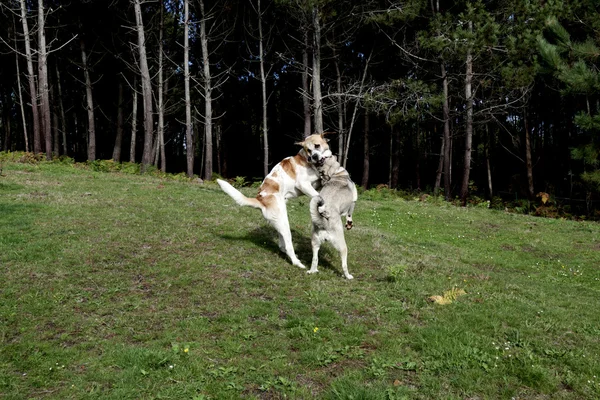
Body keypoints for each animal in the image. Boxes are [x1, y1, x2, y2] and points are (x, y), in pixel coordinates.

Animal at [217, 134, 330, 268]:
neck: (308, 162)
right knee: (288, 247)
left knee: (282, 245)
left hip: (281, 222)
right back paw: (297, 263)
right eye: (309, 150)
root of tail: (260, 199)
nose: (314, 157)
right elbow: (318, 196)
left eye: (317, 146)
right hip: (284, 224)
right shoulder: (303, 185)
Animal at [308, 152, 358, 280]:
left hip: (314, 243)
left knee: (314, 259)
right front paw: (349, 223)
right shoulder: (353, 203)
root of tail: (324, 223)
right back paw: (348, 276)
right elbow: (350, 214)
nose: (314, 156)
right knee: (344, 265)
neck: (335, 175)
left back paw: (312, 271)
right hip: (343, 247)